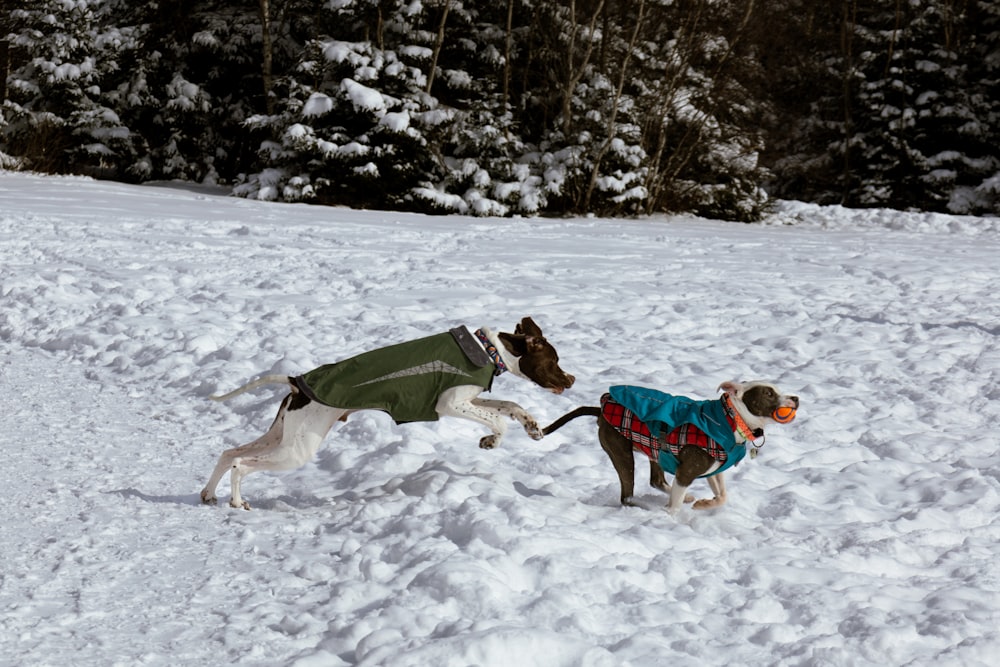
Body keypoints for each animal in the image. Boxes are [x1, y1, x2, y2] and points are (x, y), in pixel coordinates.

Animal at [201, 318, 572, 512]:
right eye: (553, 360)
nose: (571, 379)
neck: (488, 349)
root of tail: (296, 382)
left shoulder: (471, 398)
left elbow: (510, 406)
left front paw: (532, 425)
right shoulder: (449, 404)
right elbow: (497, 421)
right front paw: (491, 440)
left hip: (281, 436)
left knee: (229, 453)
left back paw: (208, 494)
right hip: (297, 449)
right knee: (241, 464)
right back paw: (237, 501)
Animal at [540, 380, 796, 516]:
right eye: (769, 393)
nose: (796, 398)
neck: (732, 419)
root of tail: (601, 409)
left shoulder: (713, 469)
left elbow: (723, 496)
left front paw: (704, 504)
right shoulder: (686, 472)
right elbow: (674, 507)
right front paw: (670, 516)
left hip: (654, 450)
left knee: (656, 480)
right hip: (621, 452)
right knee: (627, 495)